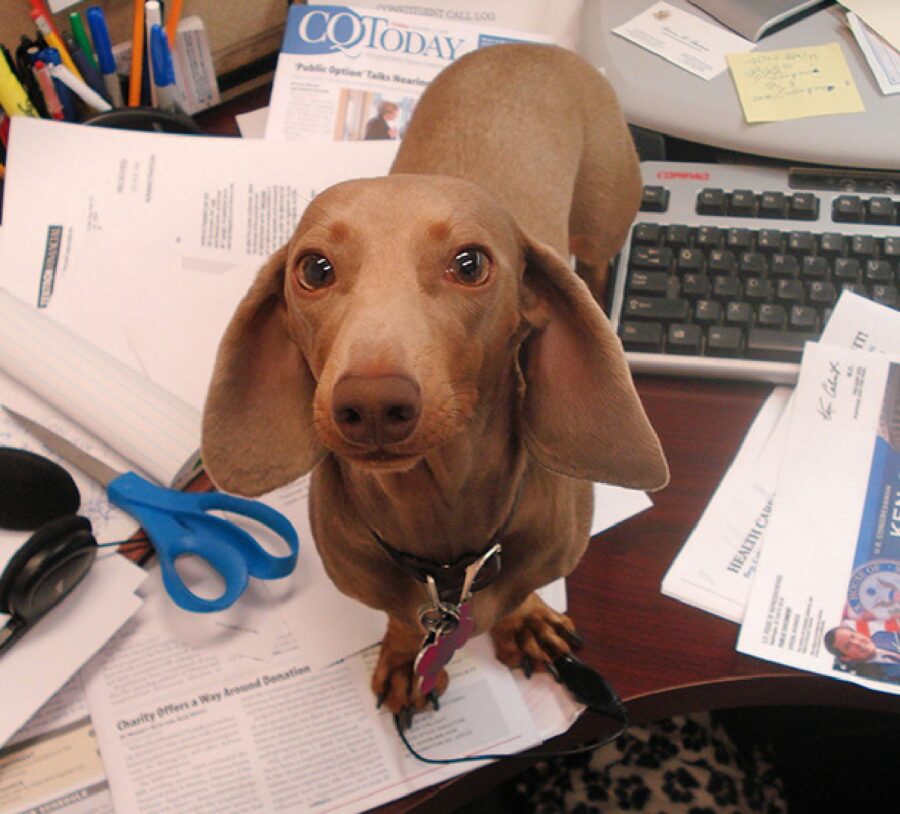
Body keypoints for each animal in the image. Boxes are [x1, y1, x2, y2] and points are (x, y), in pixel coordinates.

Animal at [204, 44, 668, 716]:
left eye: (470, 263)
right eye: (313, 269)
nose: (371, 405)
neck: (443, 539)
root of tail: (529, 47)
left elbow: (520, 592)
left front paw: (524, 618)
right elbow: (402, 618)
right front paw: (404, 655)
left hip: (605, 207)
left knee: (602, 254)